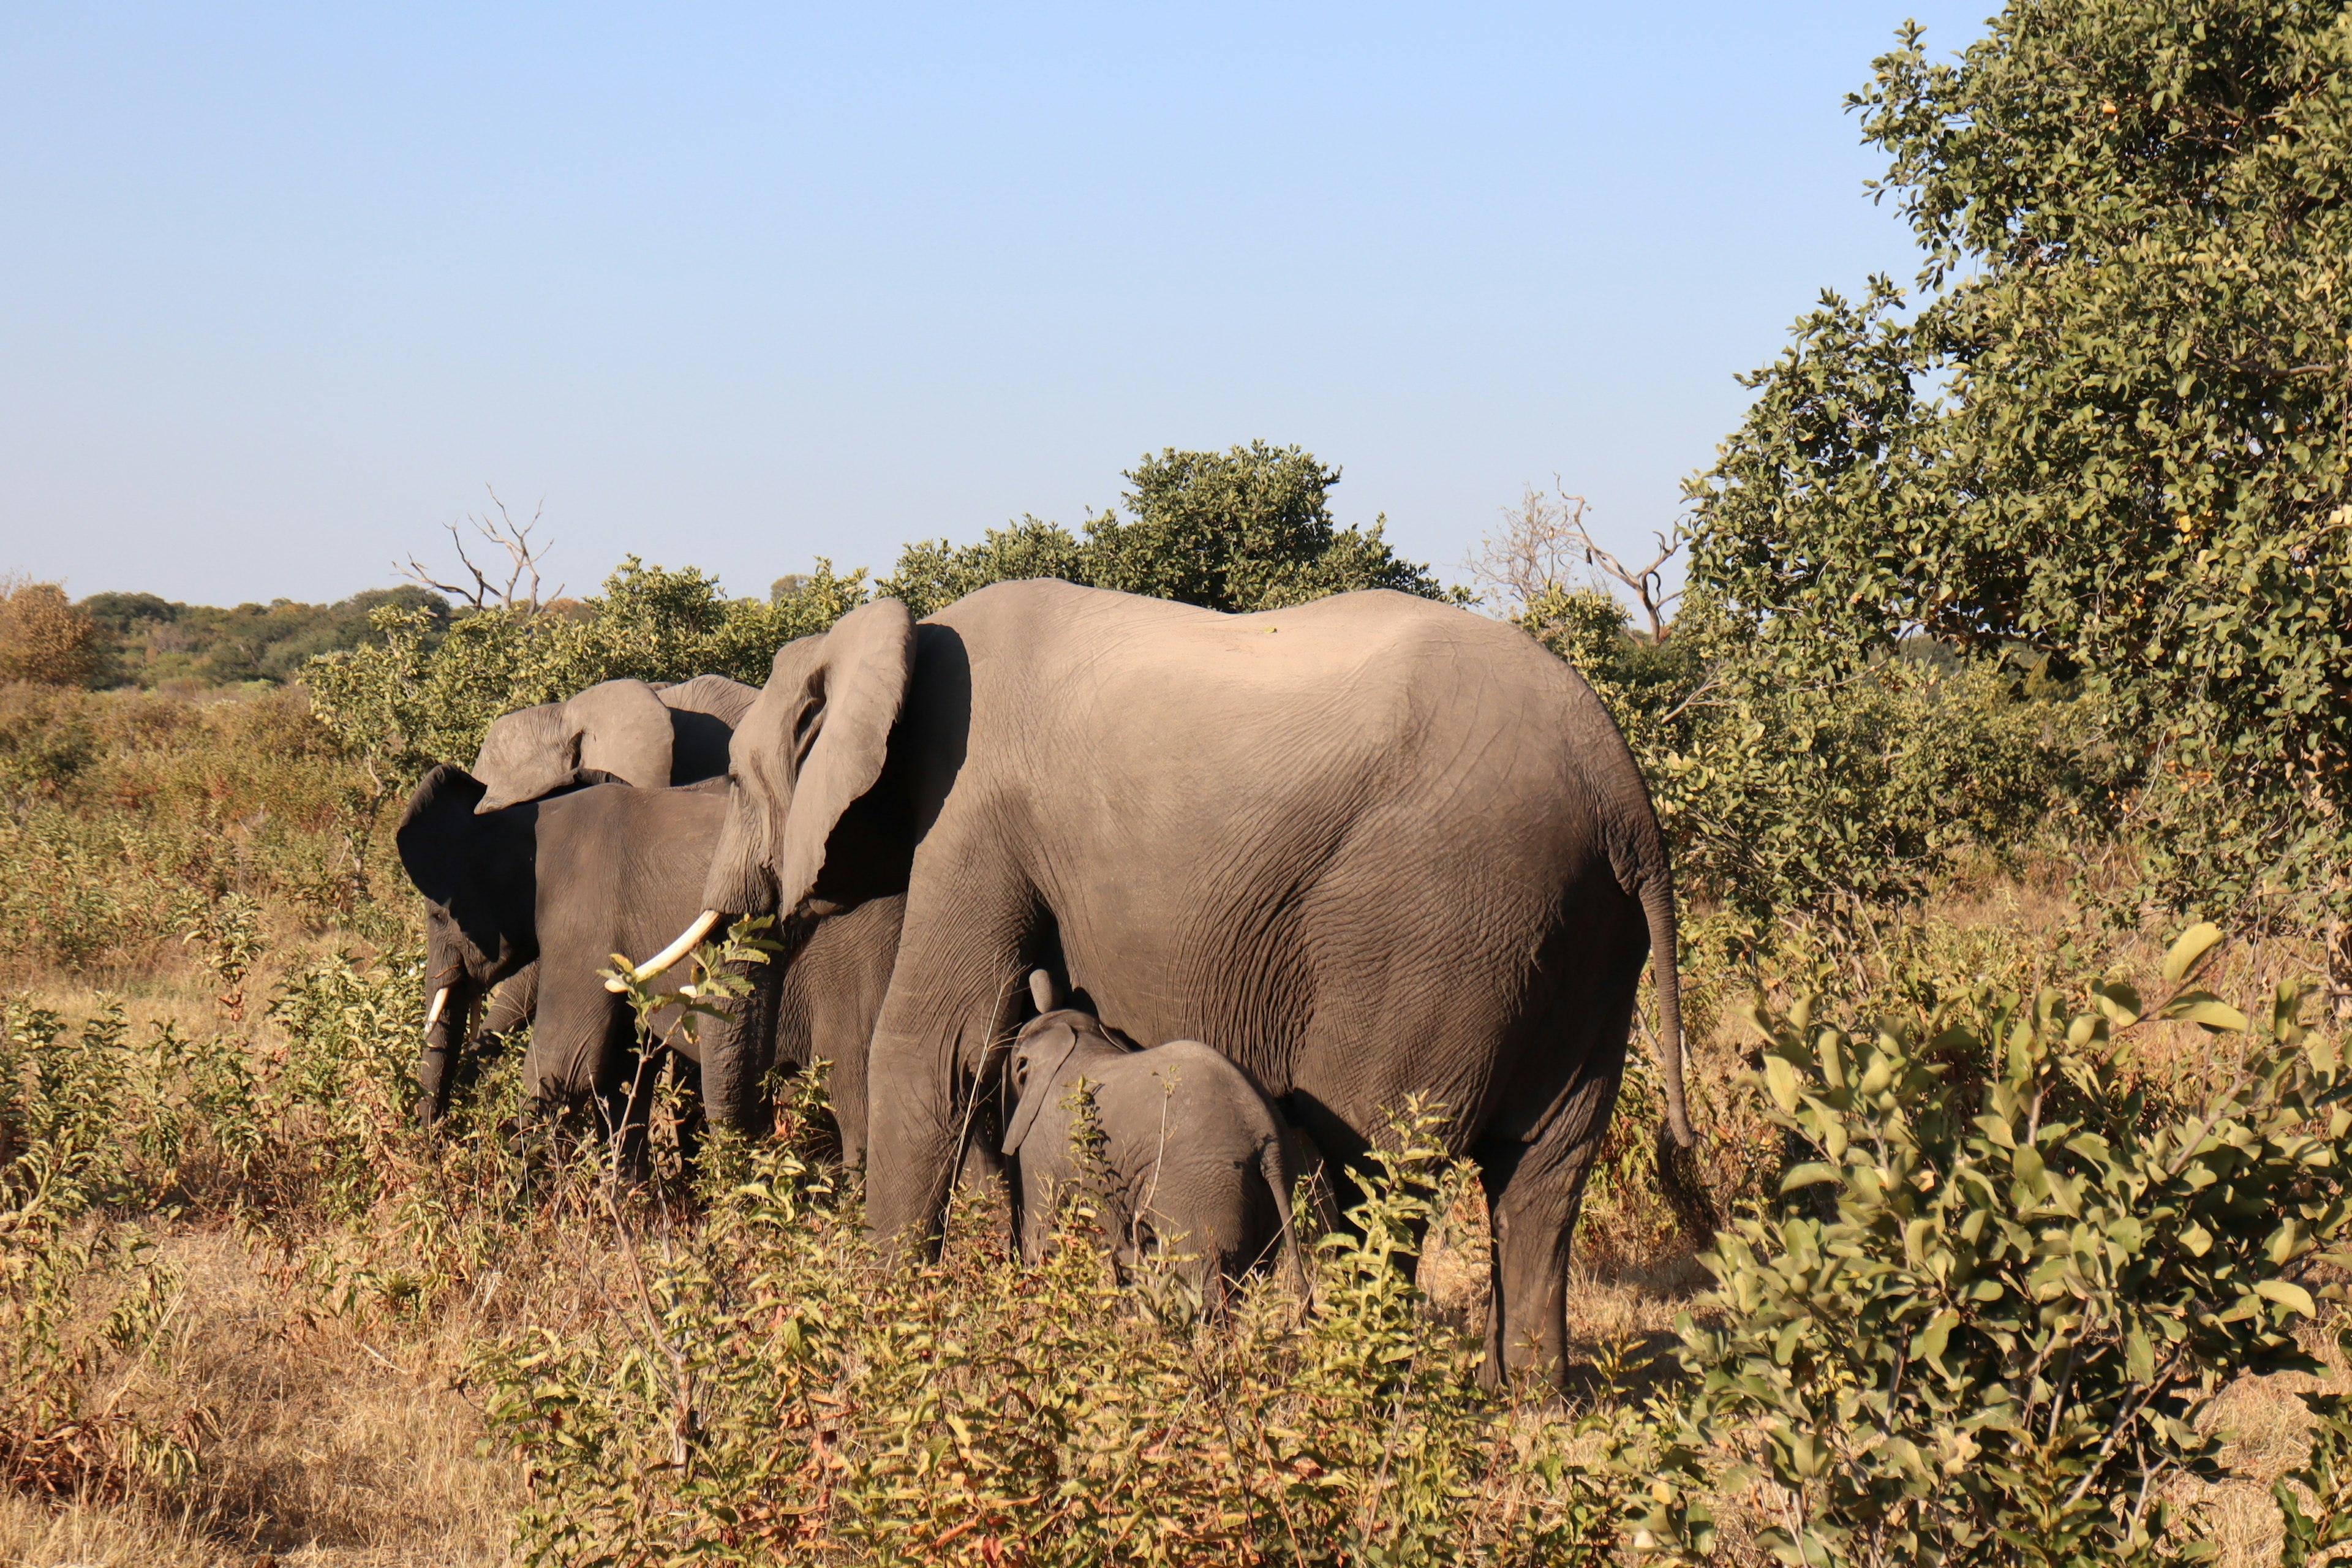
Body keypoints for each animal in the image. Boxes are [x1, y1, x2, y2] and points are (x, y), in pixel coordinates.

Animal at [1006, 982, 1317, 1297]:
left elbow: (1044, 1240)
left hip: (1205, 1189)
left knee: (1203, 1281)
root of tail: (1264, 1132)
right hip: (1267, 1193)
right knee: (1254, 1270)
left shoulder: (1039, 1147)